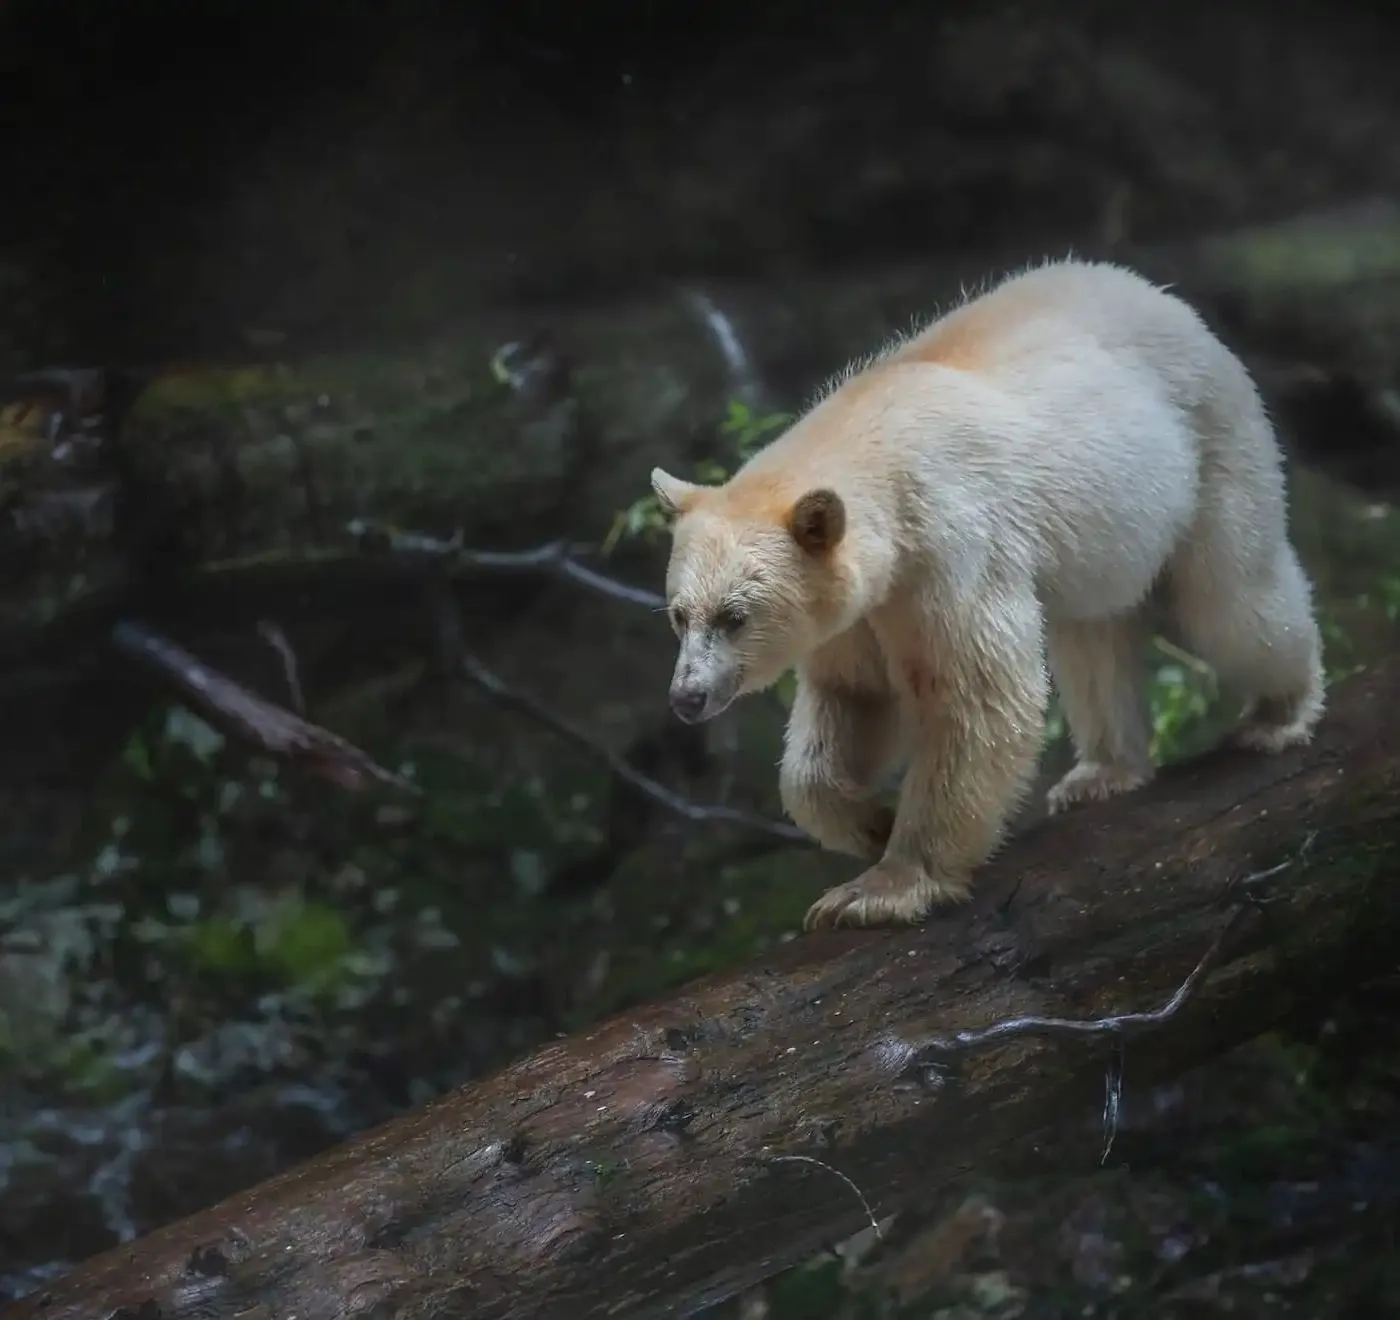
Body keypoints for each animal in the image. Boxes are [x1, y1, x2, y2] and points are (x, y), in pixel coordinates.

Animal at [649, 257, 1326, 931]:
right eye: (679, 616)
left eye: (735, 616)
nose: (687, 697)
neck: (875, 441)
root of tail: (1156, 293)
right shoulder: (861, 608)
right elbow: (856, 698)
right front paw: (870, 825)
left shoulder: (949, 547)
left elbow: (975, 693)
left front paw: (883, 887)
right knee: (1094, 637)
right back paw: (1103, 771)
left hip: (1209, 441)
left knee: (1228, 600)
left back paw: (1278, 714)